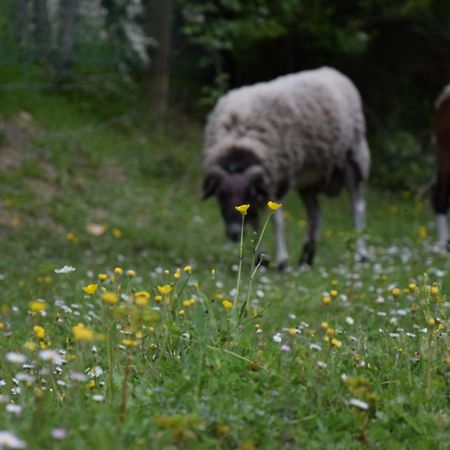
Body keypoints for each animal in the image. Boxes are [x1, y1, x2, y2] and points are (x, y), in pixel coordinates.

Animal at [202, 65, 370, 268]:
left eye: (245, 193)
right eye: (220, 196)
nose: (234, 232)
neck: (240, 145)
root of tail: (333, 71)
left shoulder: (276, 177)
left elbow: (276, 221)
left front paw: (281, 261)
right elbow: (255, 221)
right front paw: (260, 259)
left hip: (353, 159)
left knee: (357, 207)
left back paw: (361, 254)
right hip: (309, 179)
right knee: (315, 214)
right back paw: (307, 258)